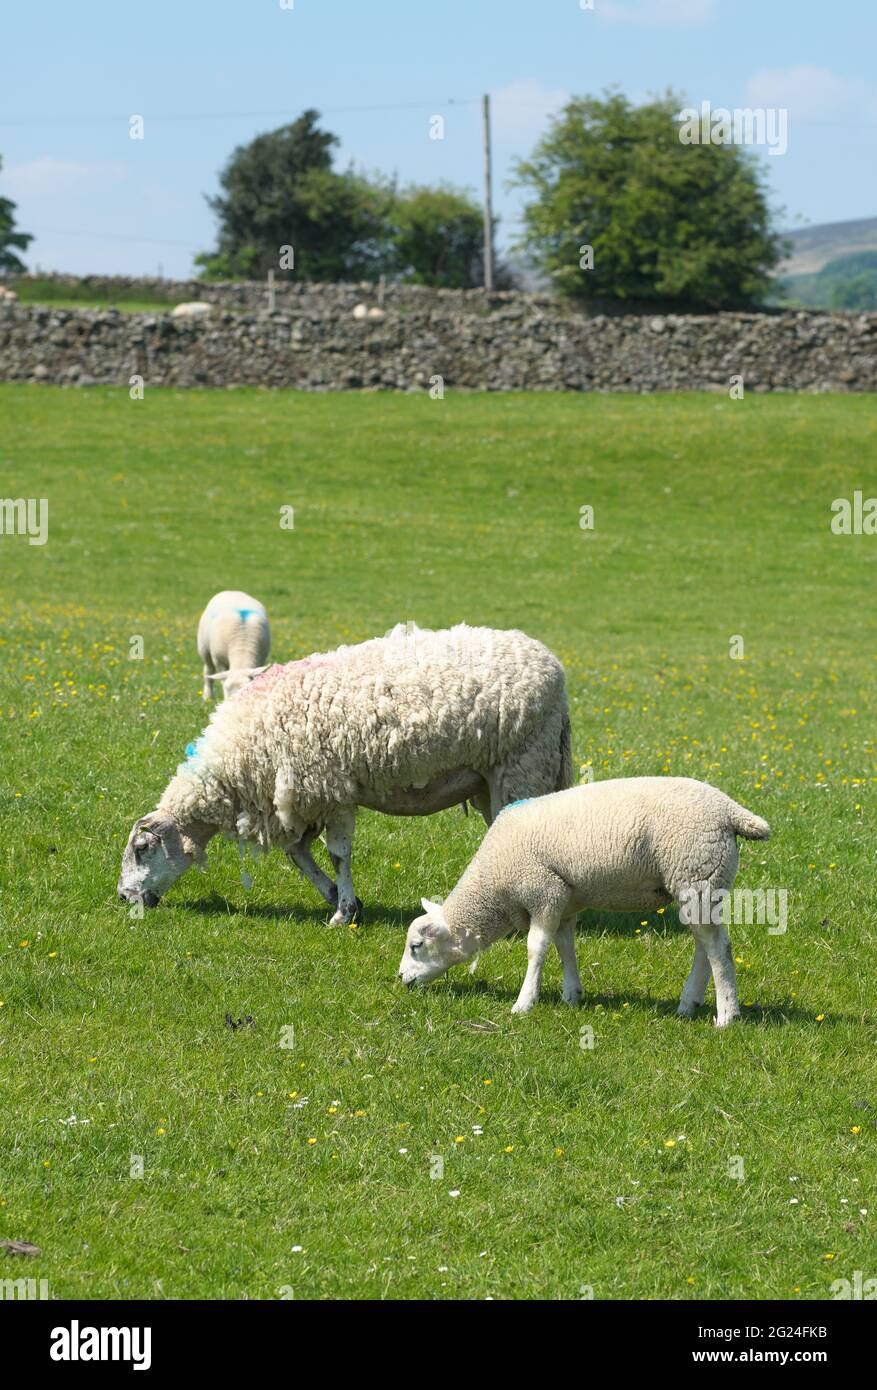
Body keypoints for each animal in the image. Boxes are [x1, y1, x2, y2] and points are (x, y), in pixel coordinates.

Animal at [118, 622, 572, 924]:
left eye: (142, 848)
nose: (123, 897)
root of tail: (552, 665)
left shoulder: (330, 791)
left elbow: (338, 855)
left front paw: (345, 911)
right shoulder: (303, 799)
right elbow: (297, 853)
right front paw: (335, 895)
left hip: (524, 764)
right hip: (492, 780)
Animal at [398, 776, 770, 1025]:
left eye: (417, 946)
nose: (401, 979)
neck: (493, 885)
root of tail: (730, 810)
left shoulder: (544, 891)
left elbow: (536, 948)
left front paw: (524, 1003)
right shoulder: (564, 899)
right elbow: (565, 946)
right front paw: (571, 995)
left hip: (695, 873)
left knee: (718, 948)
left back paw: (727, 1015)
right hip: (702, 884)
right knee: (705, 945)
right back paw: (689, 1003)